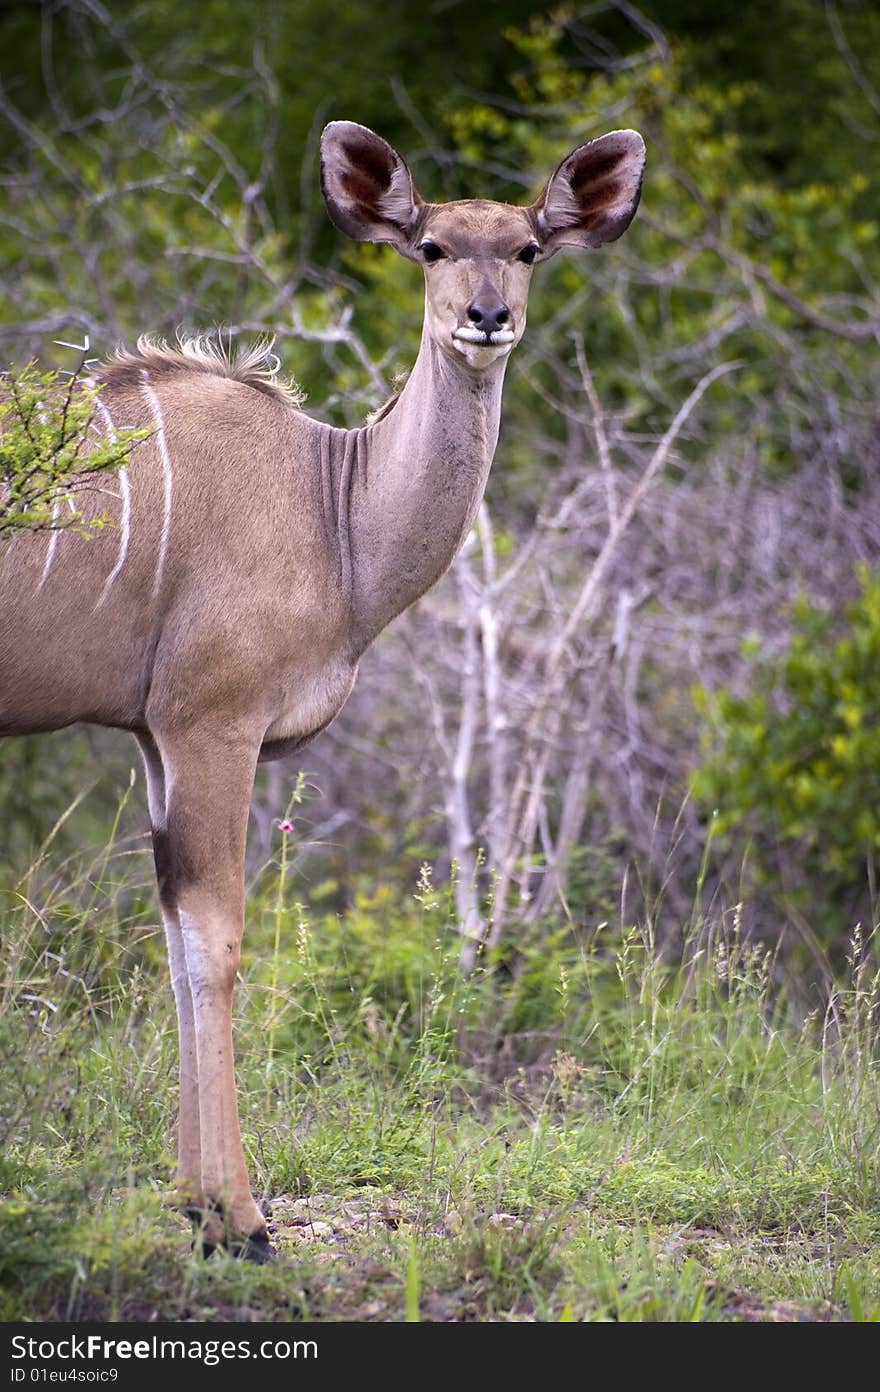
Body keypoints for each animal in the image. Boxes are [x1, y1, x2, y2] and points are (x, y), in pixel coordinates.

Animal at [0, 119, 646, 1258]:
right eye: (432, 247)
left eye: (527, 248)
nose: (487, 318)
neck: (329, 503)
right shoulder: (211, 725)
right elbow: (215, 942)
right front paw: (240, 1220)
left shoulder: (156, 739)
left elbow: (175, 938)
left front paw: (196, 1204)